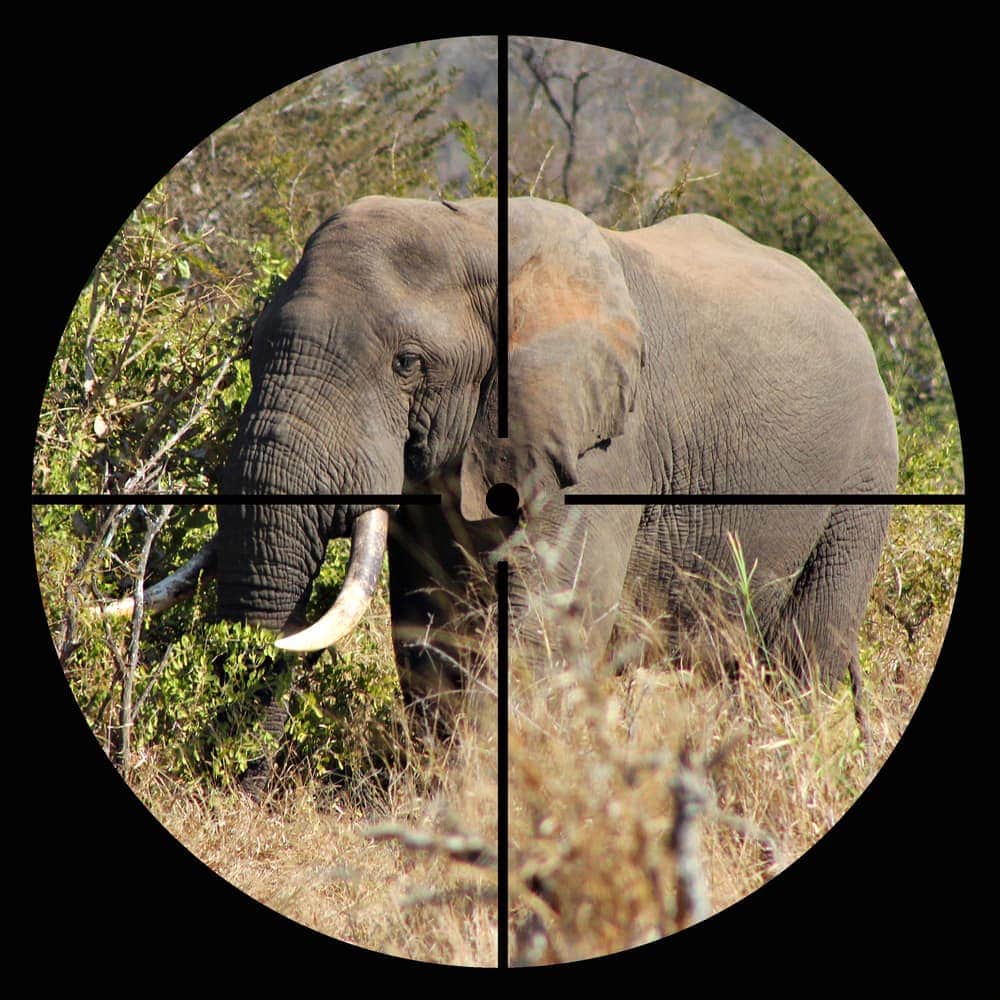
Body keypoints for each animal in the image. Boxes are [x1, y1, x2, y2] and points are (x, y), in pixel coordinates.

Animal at [110, 194, 898, 719]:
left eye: (407, 364)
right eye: (253, 347)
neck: (473, 231)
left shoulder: (602, 450)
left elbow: (548, 626)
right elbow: (431, 626)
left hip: (864, 479)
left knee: (804, 654)